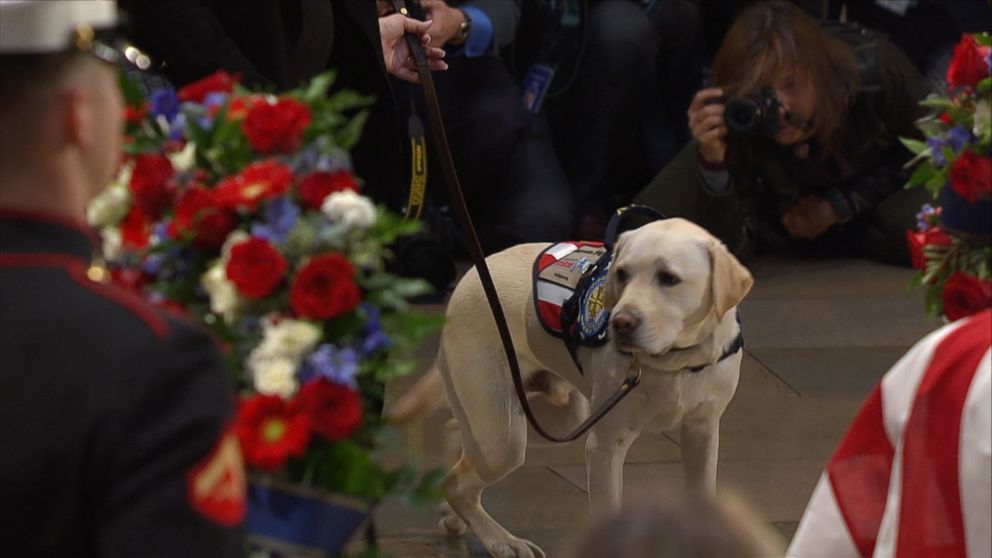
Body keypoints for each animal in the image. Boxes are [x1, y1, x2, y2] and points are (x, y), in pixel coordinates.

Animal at [388, 219, 752, 558]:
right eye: (622, 274)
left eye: (669, 278)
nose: (620, 322)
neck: (675, 361)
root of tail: (470, 276)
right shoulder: (605, 445)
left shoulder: (701, 432)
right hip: (505, 438)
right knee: (456, 481)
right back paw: (502, 541)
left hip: (557, 414)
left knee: (456, 436)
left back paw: (454, 514)